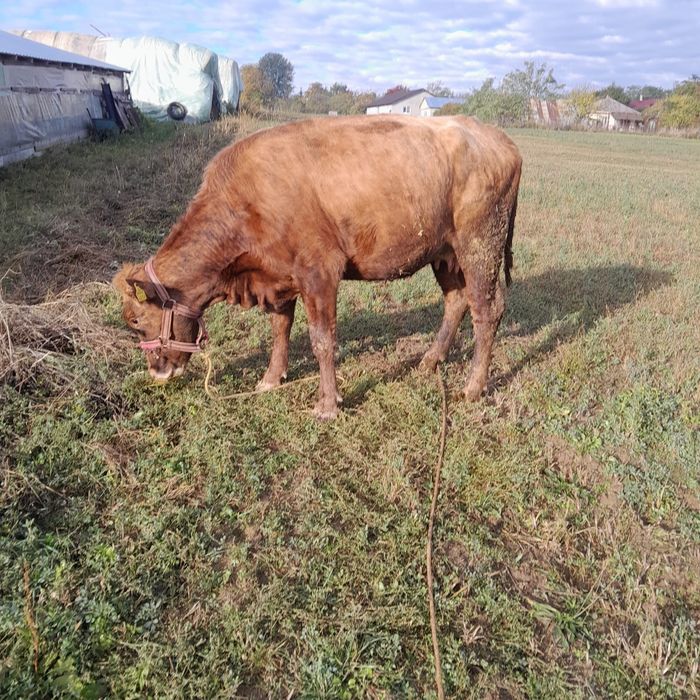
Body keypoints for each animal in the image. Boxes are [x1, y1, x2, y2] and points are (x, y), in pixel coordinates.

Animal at [113, 115, 522, 419]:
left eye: (136, 320)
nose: (157, 371)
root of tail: (501, 140)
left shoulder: (319, 272)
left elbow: (322, 340)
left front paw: (327, 405)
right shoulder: (279, 277)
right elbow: (280, 330)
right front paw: (270, 379)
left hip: (480, 247)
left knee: (487, 310)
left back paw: (472, 386)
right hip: (446, 253)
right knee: (457, 301)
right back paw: (430, 361)